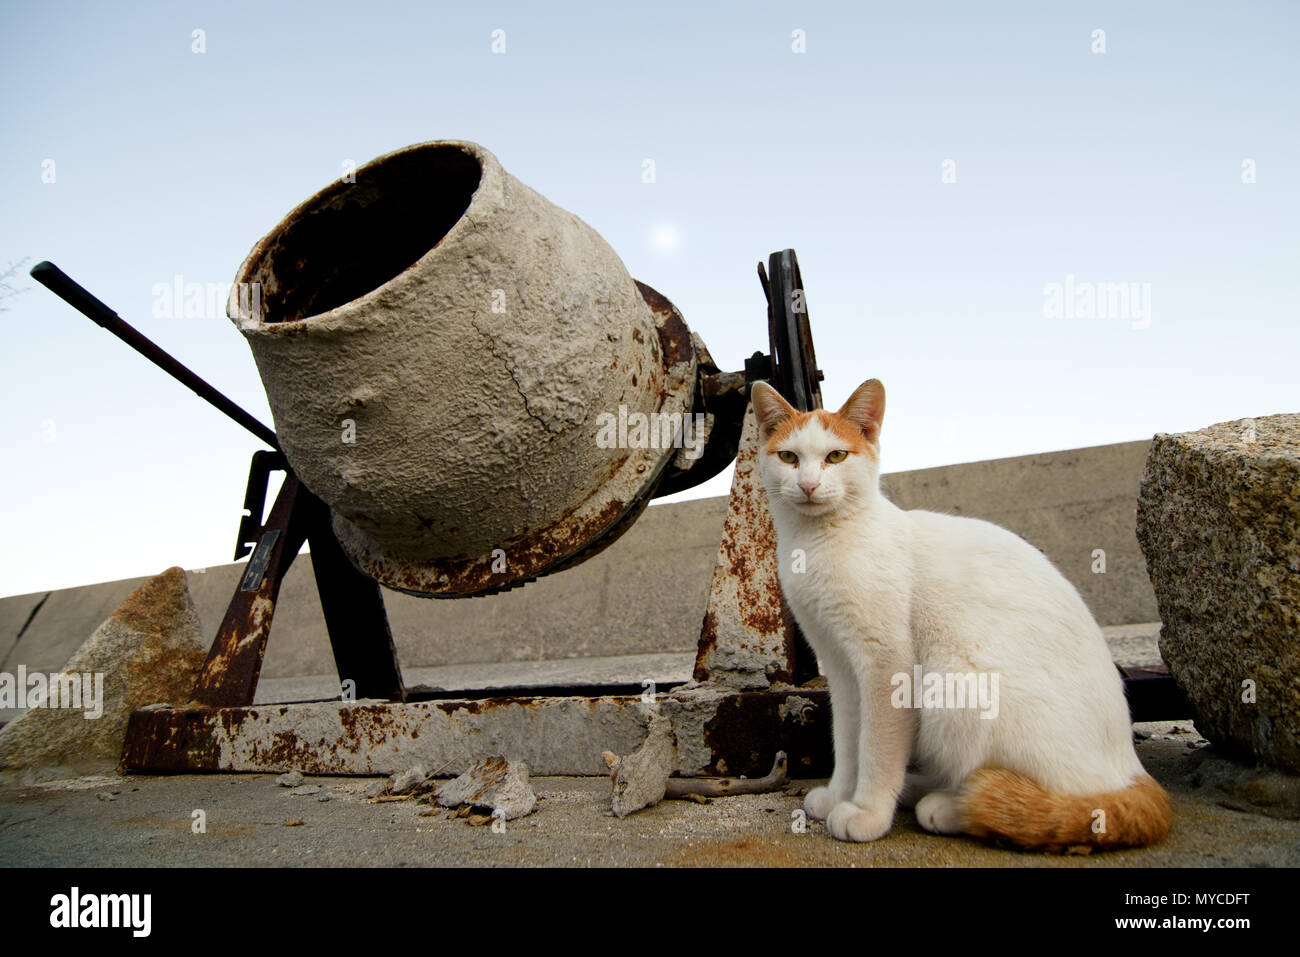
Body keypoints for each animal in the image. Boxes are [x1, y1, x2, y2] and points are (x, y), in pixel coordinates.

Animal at [754, 377, 1170, 847]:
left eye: (836, 456)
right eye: (789, 457)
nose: (807, 485)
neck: (820, 542)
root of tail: (1131, 770)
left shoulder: (886, 663)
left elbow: (877, 748)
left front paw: (868, 812)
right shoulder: (840, 667)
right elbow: (847, 741)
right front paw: (840, 794)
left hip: (953, 682)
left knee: (1046, 803)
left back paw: (947, 806)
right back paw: (918, 789)